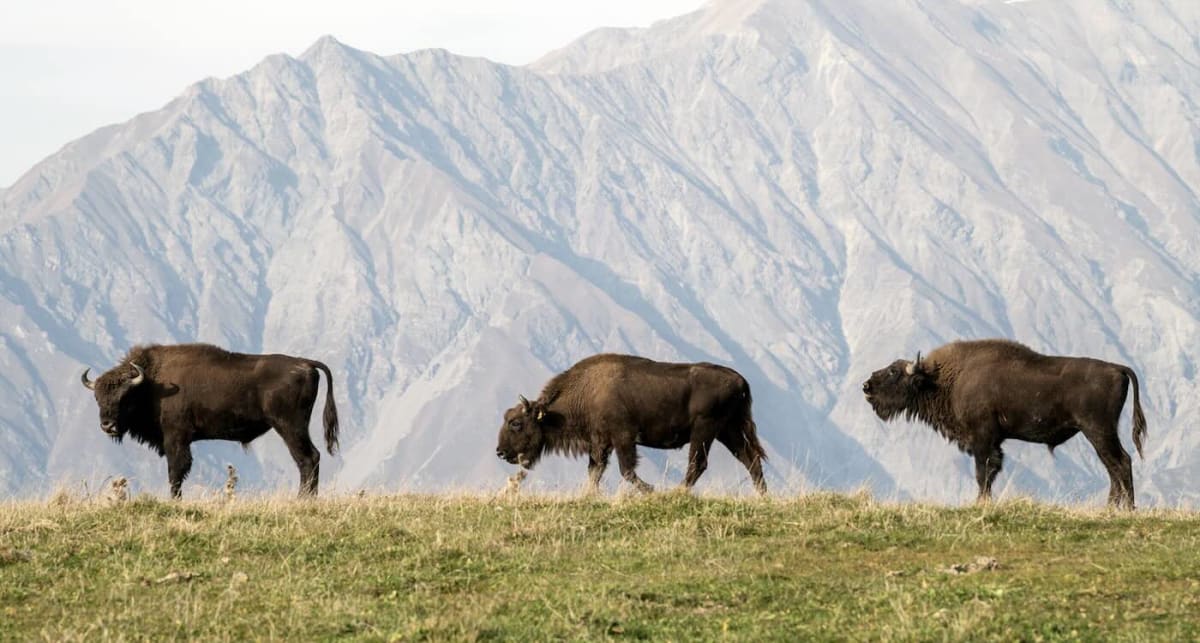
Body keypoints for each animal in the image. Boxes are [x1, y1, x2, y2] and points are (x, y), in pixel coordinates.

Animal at [81, 343, 339, 498]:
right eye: (97, 398)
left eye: (125, 397)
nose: (107, 425)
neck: (151, 384)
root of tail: (306, 363)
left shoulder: (176, 438)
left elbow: (176, 471)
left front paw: (175, 500)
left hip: (289, 426)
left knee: (308, 458)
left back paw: (303, 499)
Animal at [495, 354, 767, 494]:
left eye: (516, 423)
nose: (500, 452)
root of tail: (740, 380)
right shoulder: (600, 444)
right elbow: (595, 471)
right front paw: (588, 496)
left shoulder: (623, 438)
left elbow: (626, 470)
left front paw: (652, 490)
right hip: (727, 431)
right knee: (750, 459)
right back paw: (762, 495)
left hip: (705, 431)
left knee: (698, 464)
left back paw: (675, 493)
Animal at [863, 339, 1146, 509]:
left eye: (893, 372)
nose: (866, 386)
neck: (945, 379)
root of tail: (1117, 368)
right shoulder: (993, 441)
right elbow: (990, 472)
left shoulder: (982, 439)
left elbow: (983, 473)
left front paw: (980, 502)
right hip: (1098, 434)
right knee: (1113, 467)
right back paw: (1111, 508)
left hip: (1098, 430)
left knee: (1121, 462)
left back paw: (1127, 509)